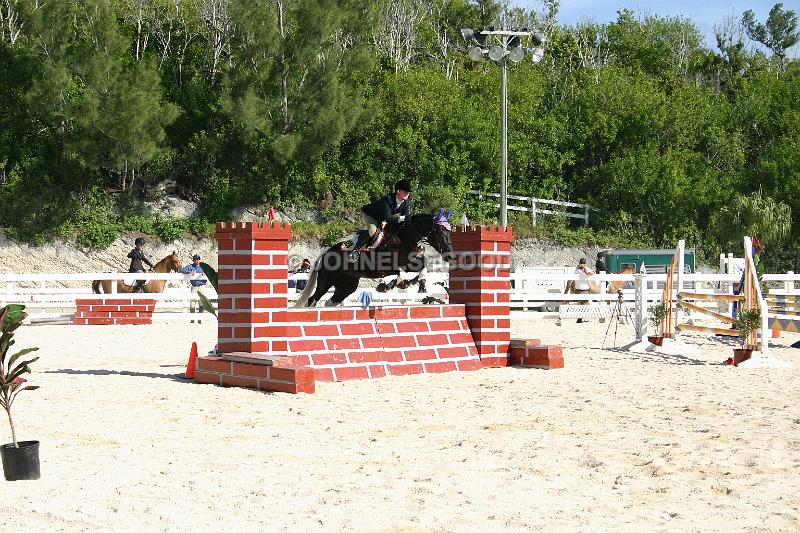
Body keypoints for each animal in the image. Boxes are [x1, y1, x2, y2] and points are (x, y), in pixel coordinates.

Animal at [296, 210, 456, 306]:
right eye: (440, 232)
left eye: (449, 232)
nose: (449, 255)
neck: (404, 238)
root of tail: (325, 253)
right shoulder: (385, 266)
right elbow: (400, 272)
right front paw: (389, 285)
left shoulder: (410, 262)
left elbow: (422, 267)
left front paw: (412, 283)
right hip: (326, 280)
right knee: (313, 299)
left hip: (348, 285)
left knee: (331, 301)